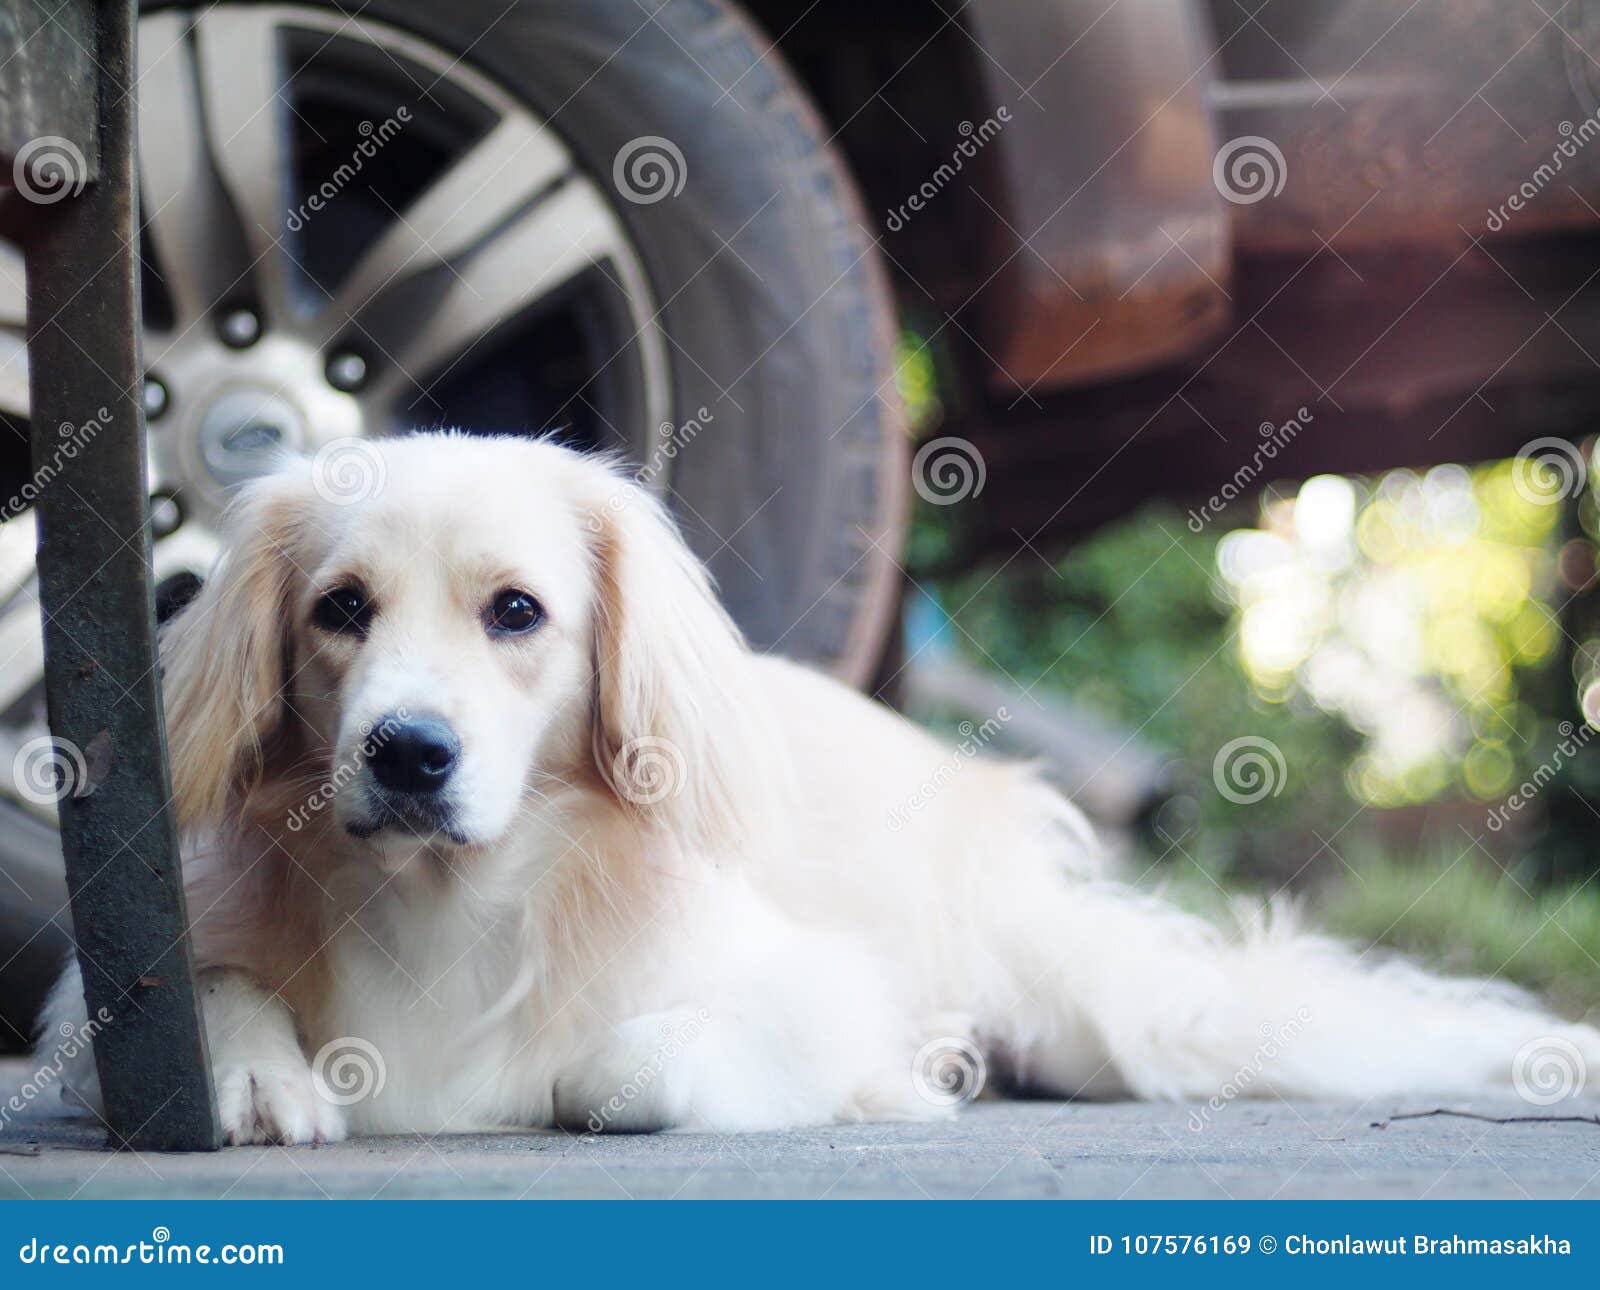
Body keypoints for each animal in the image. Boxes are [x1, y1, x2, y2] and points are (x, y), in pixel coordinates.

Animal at [46, 438, 1600, 1145]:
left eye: (515, 611)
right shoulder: (124, 975)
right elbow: (206, 991)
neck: (447, 906)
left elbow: (613, 1064)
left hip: (1124, 1016)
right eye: (341, 610)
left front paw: (890, 1086)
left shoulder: (814, 986)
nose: (407, 752)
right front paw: (254, 1070)